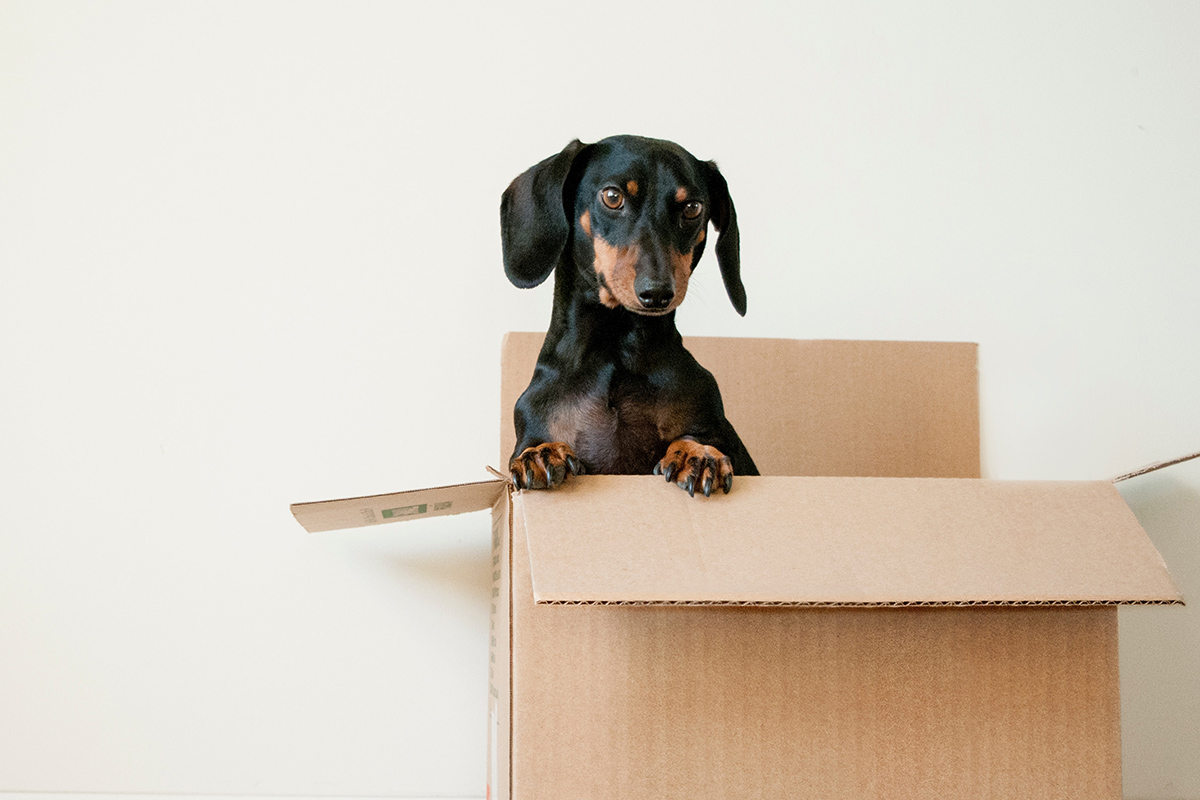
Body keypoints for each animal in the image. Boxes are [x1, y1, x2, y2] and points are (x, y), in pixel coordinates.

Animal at [501, 135, 753, 496]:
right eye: (612, 196)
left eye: (692, 208)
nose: (657, 292)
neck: (616, 350)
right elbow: (535, 445)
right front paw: (541, 453)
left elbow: (696, 437)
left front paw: (698, 453)